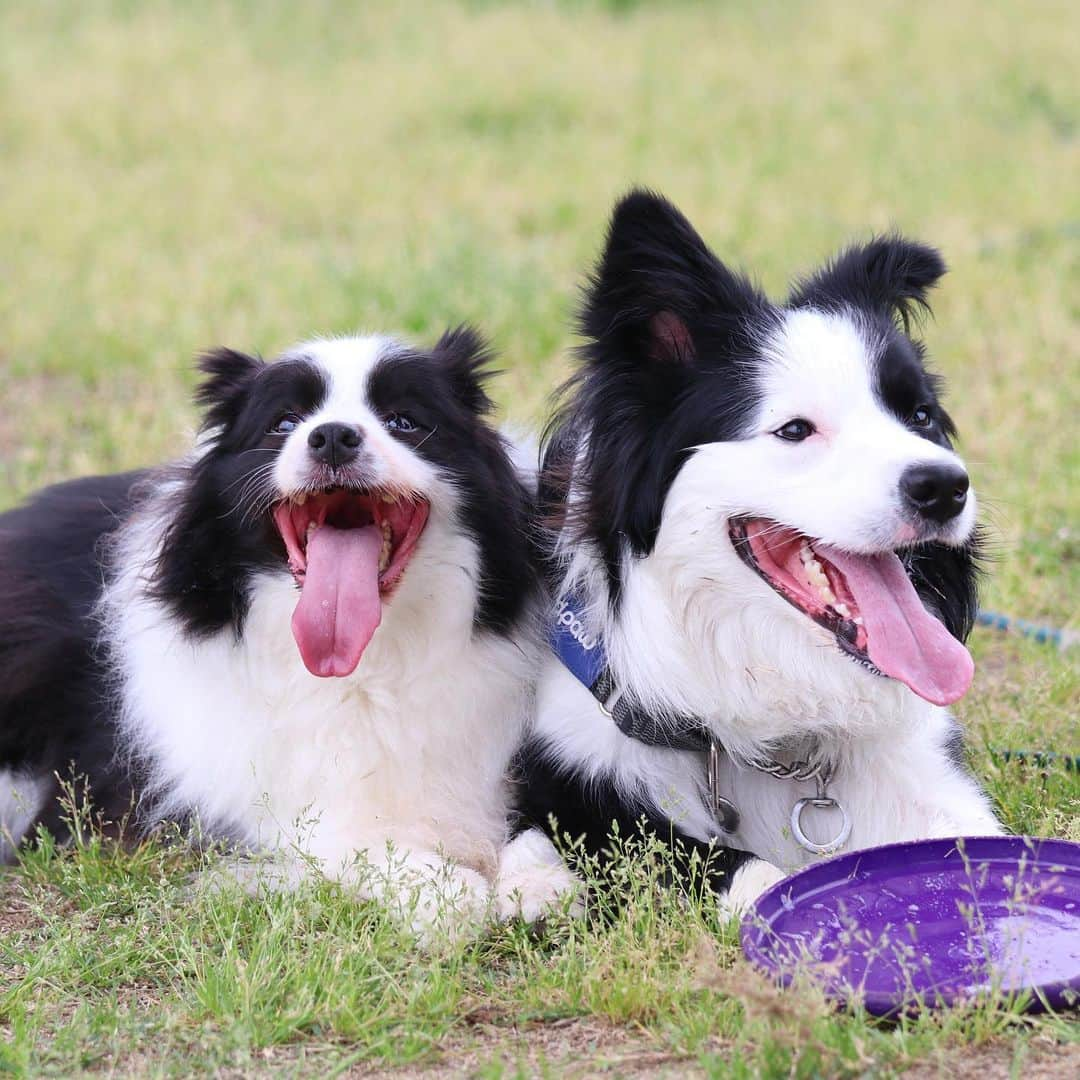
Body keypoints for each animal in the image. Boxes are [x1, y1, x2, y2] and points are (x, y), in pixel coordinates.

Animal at [0, 328, 540, 928]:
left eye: (404, 420)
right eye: (283, 423)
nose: (332, 438)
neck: (364, 668)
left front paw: (538, 881)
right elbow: (343, 842)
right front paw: (445, 892)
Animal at [505, 194, 1002, 911]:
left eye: (920, 416)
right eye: (794, 430)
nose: (945, 488)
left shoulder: (931, 776)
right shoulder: (574, 774)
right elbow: (708, 858)